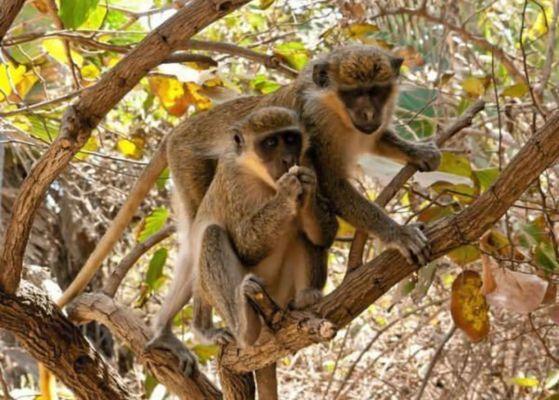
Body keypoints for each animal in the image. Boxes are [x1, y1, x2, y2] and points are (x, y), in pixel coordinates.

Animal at [190, 106, 336, 346]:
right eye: (270, 143)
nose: (288, 159)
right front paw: (286, 193)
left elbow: (326, 234)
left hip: (282, 293)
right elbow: (245, 247)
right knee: (212, 234)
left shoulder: (307, 161)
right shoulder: (231, 180)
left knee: (301, 230)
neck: (261, 178)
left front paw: (307, 189)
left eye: (290, 139)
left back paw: (306, 297)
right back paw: (245, 327)